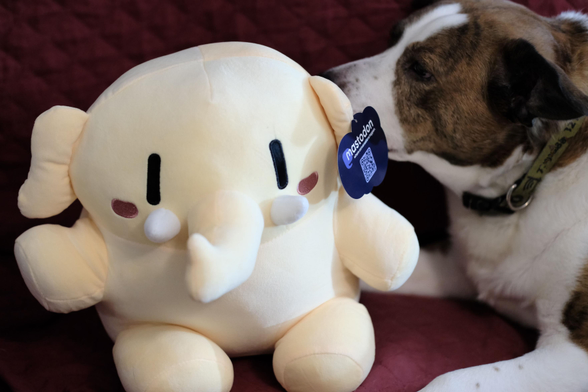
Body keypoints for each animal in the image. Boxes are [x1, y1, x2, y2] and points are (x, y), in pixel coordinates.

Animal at [324, 0, 588, 392]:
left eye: (420, 70)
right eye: (392, 38)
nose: (320, 78)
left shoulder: (573, 350)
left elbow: (447, 380)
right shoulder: (453, 267)